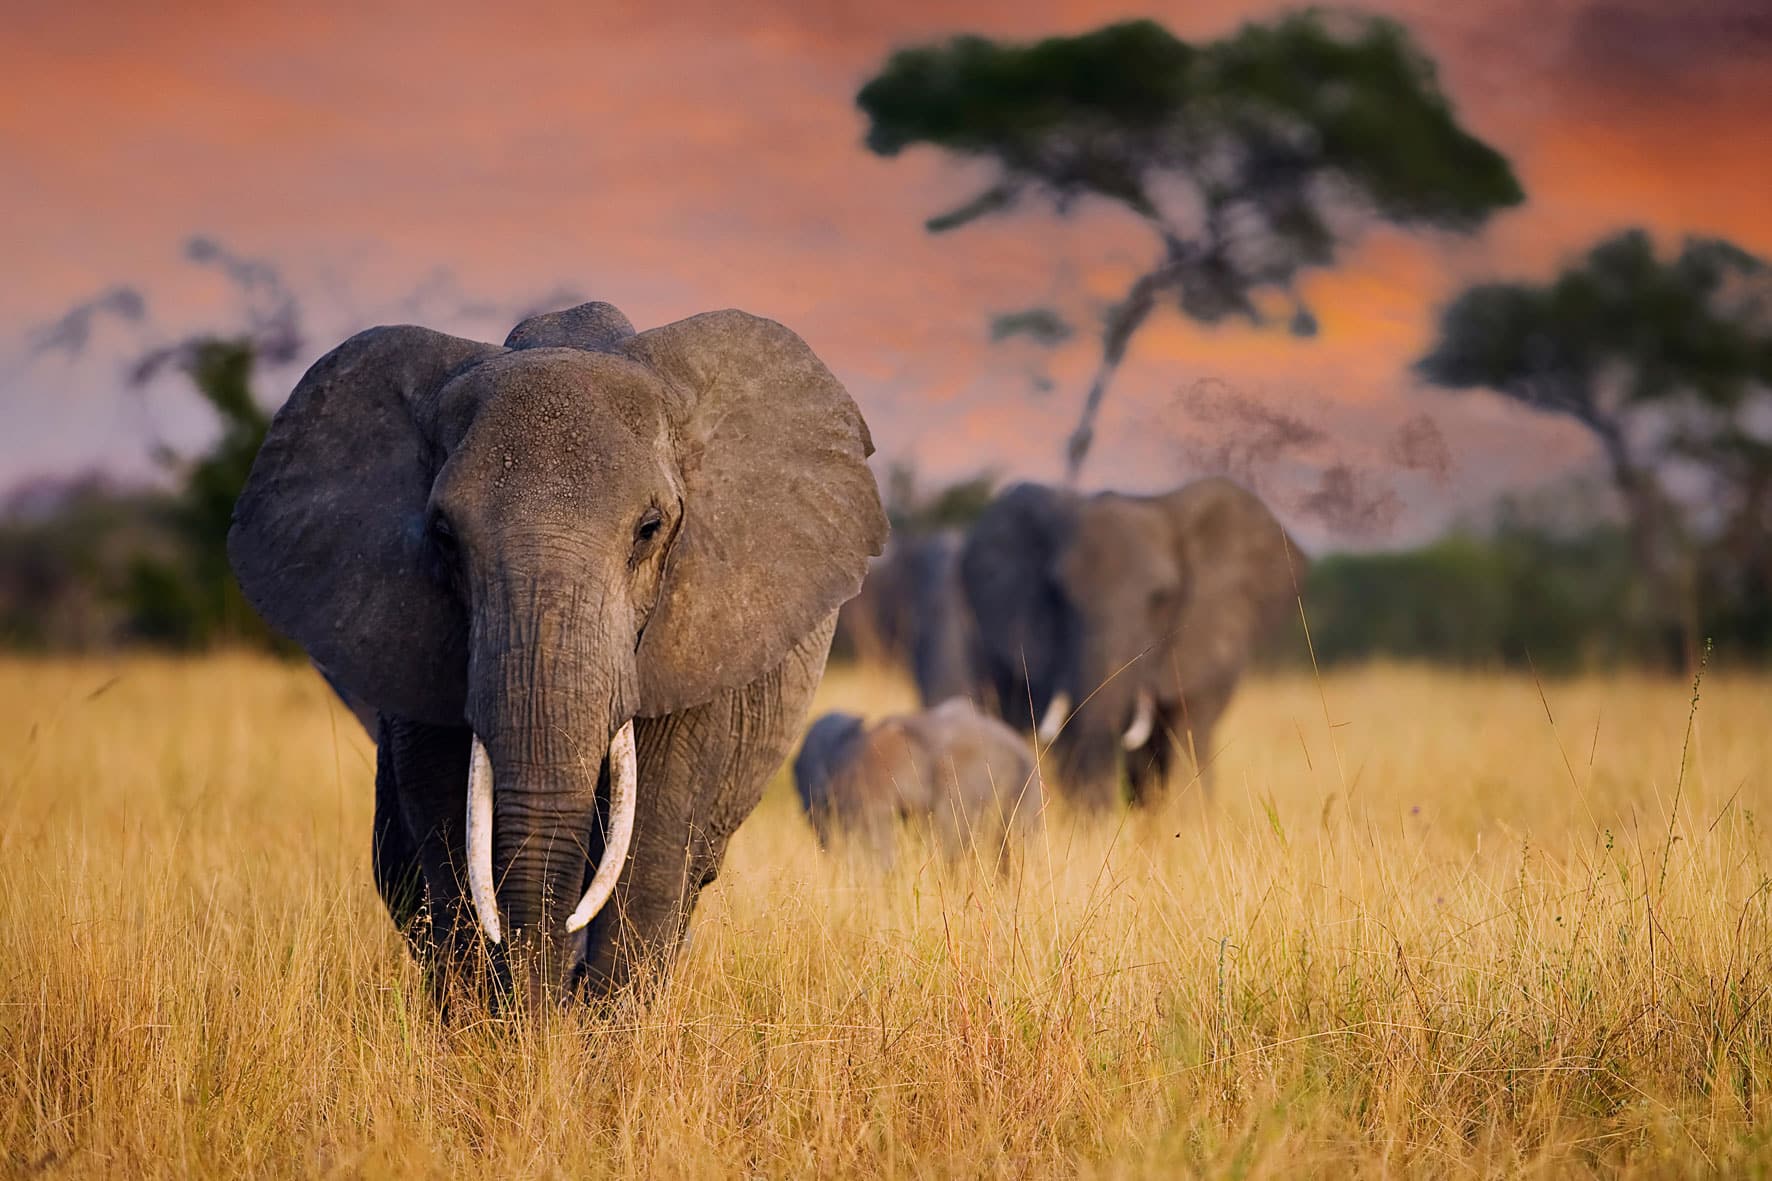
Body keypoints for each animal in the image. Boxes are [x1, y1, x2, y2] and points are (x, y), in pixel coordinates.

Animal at [226, 299, 886, 1000]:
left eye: (650, 529)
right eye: (443, 536)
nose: (543, 1009)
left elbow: (651, 852)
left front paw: (591, 1028)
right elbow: (449, 835)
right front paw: (494, 1022)